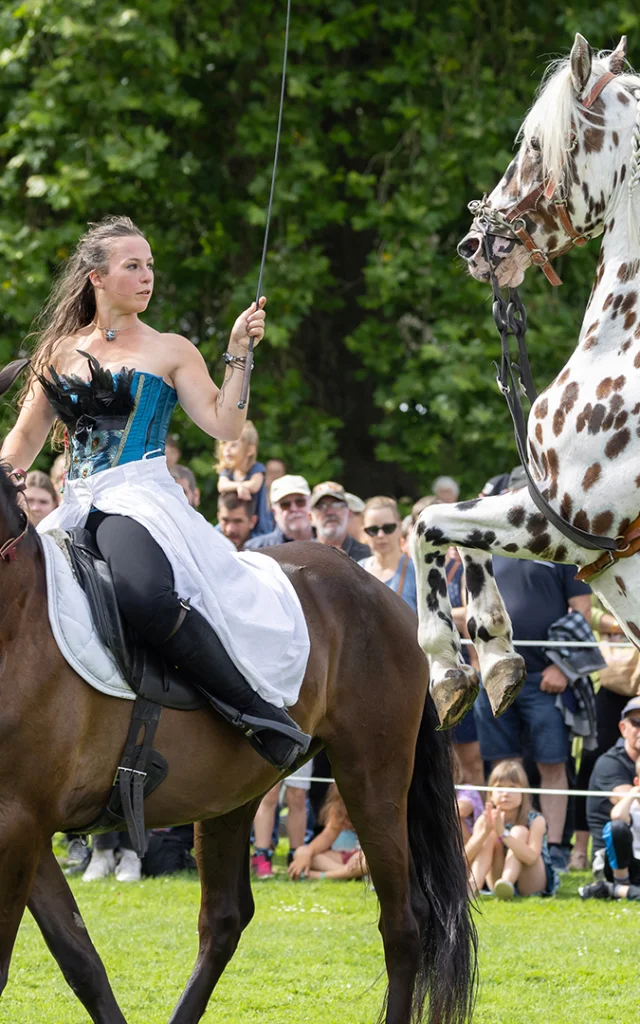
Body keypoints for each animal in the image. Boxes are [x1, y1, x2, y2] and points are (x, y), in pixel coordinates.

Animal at [0, 442, 475, 1024]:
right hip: (231, 794)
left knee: (403, 921)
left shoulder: (18, 823)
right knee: (224, 920)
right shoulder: (27, 829)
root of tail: (382, 595)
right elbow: (79, 956)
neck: (16, 620)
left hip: (373, 779)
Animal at [409, 32, 638, 733]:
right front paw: (494, 655)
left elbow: (426, 524)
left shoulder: (562, 526)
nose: (473, 245)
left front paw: (455, 667)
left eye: (535, 146)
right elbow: (444, 527)